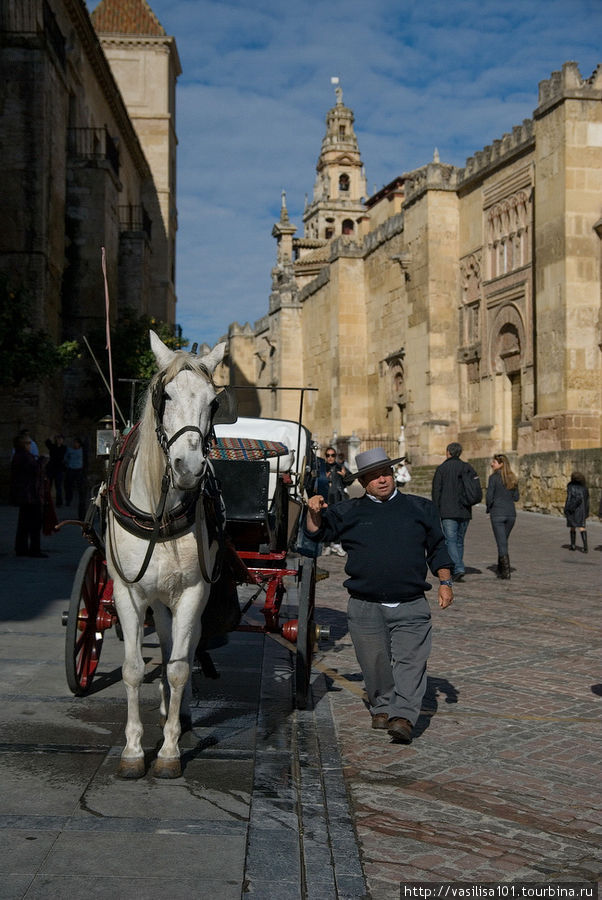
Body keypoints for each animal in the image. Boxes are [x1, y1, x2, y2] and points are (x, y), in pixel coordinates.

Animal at [105, 332, 225, 780]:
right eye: (165, 395)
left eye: (213, 403)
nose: (188, 467)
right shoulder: (127, 593)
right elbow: (133, 668)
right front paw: (133, 750)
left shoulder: (192, 591)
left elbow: (177, 666)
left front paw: (170, 751)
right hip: (155, 597)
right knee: (168, 635)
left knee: (184, 648)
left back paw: (181, 711)